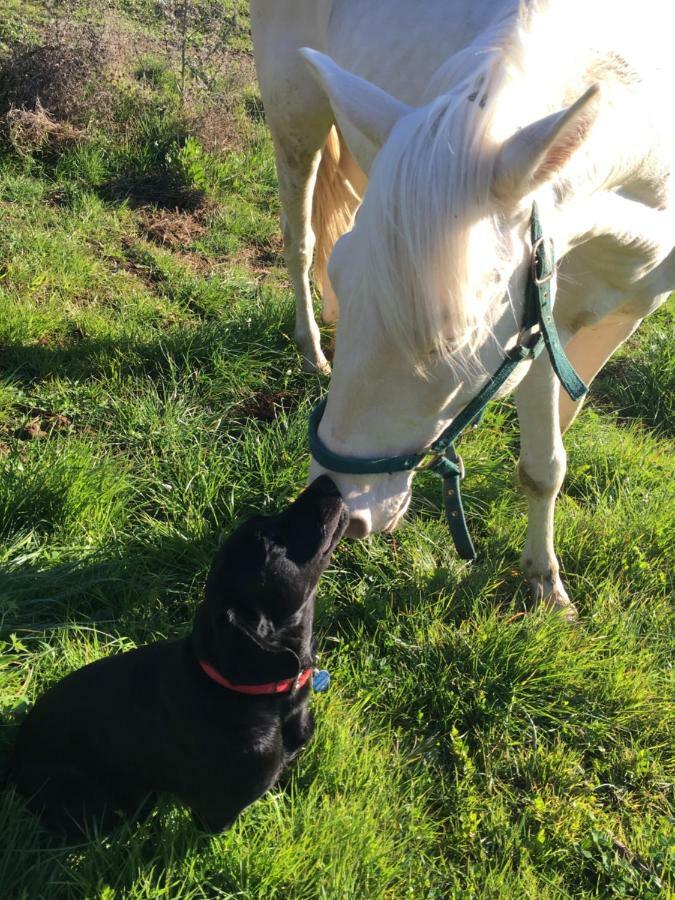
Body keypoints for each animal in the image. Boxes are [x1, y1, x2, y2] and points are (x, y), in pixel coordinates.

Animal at [251, 0, 672, 616]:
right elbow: (544, 465)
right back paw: (310, 349)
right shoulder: (542, 323)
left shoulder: (622, 313)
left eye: (451, 340)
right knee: (299, 238)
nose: (340, 507)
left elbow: (559, 435)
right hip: (297, 117)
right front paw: (544, 582)